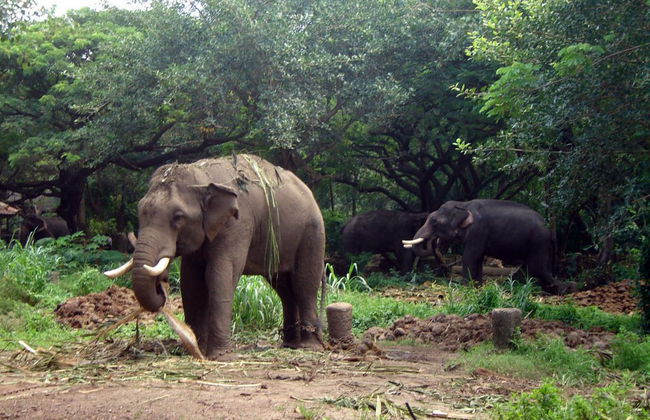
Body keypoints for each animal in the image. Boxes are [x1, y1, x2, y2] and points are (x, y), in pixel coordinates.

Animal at [104, 154, 326, 359]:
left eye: (178, 217)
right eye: (140, 211)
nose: (161, 285)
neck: (202, 178)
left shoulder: (237, 223)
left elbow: (219, 274)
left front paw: (220, 356)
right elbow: (191, 282)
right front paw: (196, 349)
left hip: (312, 233)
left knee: (304, 283)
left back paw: (309, 347)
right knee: (283, 287)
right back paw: (289, 345)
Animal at [403, 199, 567, 294]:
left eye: (434, 221)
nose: (437, 242)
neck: (463, 204)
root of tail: (550, 230)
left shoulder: (478, 230)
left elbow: (470, 257)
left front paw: (464, 287)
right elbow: (479, 259)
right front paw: (477, 286)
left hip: (538, 242)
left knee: (536, 267)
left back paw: (562, 289)